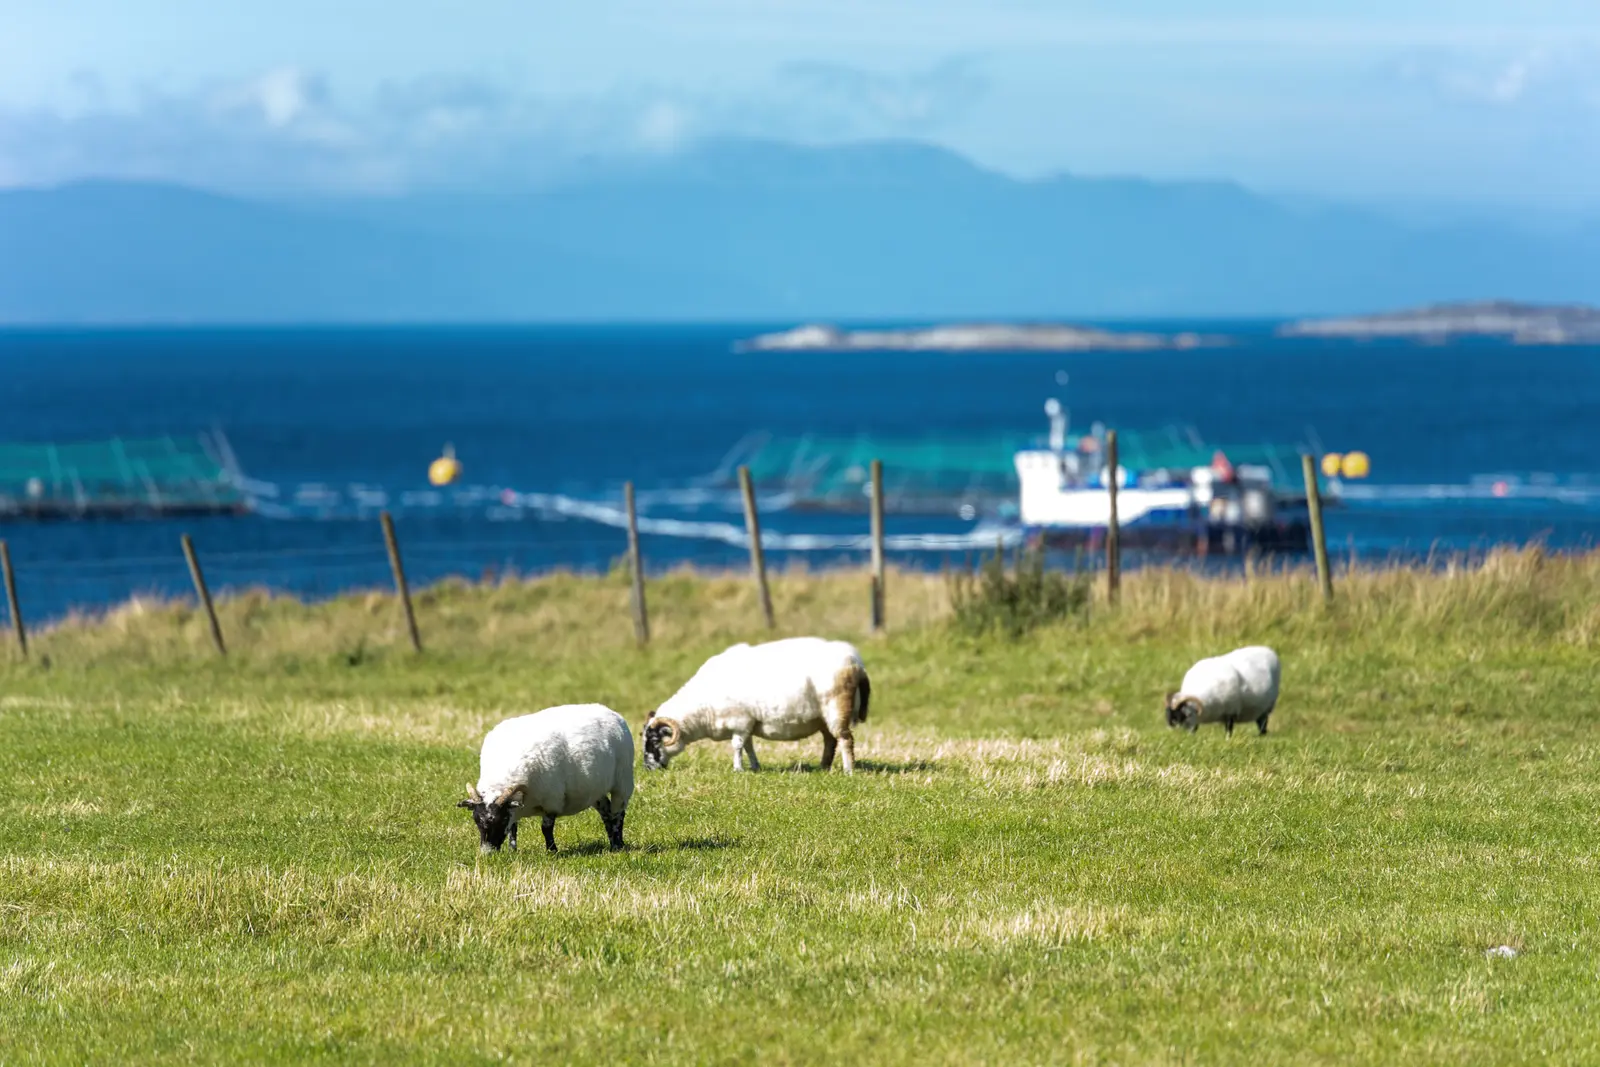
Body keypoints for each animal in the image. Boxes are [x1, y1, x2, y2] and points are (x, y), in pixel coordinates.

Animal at [457, 703, 634, 853]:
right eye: (476, 821)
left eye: (501, 821)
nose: (487, 854)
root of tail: (611, 712)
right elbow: (513, 828)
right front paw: (512, 851)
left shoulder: (552, 801)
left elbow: (546, 828)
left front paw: (552, 851)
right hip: (596, 789)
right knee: (606, 812)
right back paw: (612, 842)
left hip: (623, 780)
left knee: (618, 813)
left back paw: (618, 845)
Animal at [641, 637, 871, 774]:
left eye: (654, 740)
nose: (648, 768)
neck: (701, 707)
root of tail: (856, 662)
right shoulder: (747, 725)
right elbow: (748, 746)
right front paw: (754, 766)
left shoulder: (740, 721)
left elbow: (736, 746)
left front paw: (738, 769)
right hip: (823, 717)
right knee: (829, 741)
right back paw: (823, 767)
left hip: (837, 710)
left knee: (845, 739)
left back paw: (848, 770)